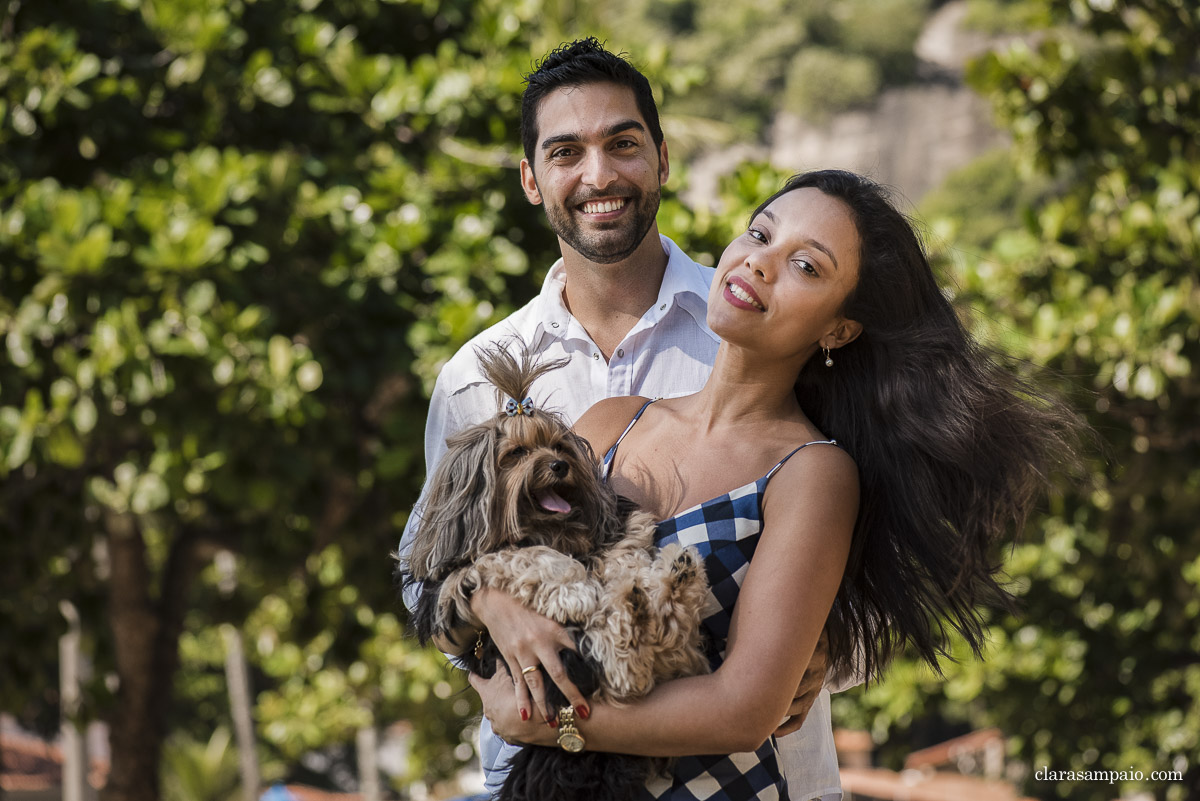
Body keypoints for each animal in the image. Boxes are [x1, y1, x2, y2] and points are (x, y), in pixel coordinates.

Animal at [400, 345, 710, 801]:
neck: (552, 531)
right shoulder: (451, 581)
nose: (559, 465)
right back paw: (639, 604)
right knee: (625, 671)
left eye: (559, 445)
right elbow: (511, 557)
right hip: (564, 664)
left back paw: (666, 581)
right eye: (515, 454)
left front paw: (626, 556)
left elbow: (620, 544)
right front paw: (574, 590)